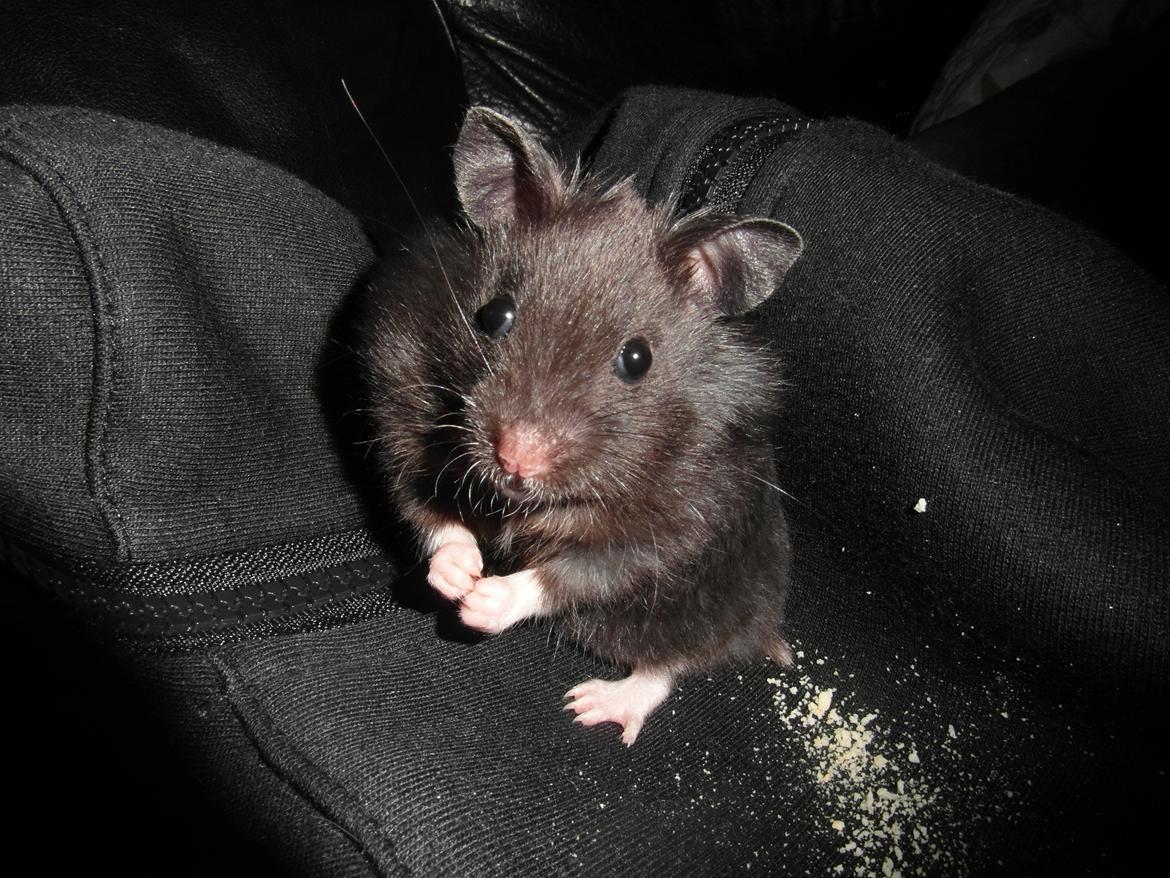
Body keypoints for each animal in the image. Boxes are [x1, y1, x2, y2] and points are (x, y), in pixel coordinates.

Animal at [359, 107, 803, 745]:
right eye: (492, 314)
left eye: (637, 359)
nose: (516, 460)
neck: (523, 504)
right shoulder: (401, 415)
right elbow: (428, 512)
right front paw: (459, 575)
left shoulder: (673, 529)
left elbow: (576, 574)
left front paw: (482, 602)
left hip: (708, 607)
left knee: (670, 663)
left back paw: (593, 705)